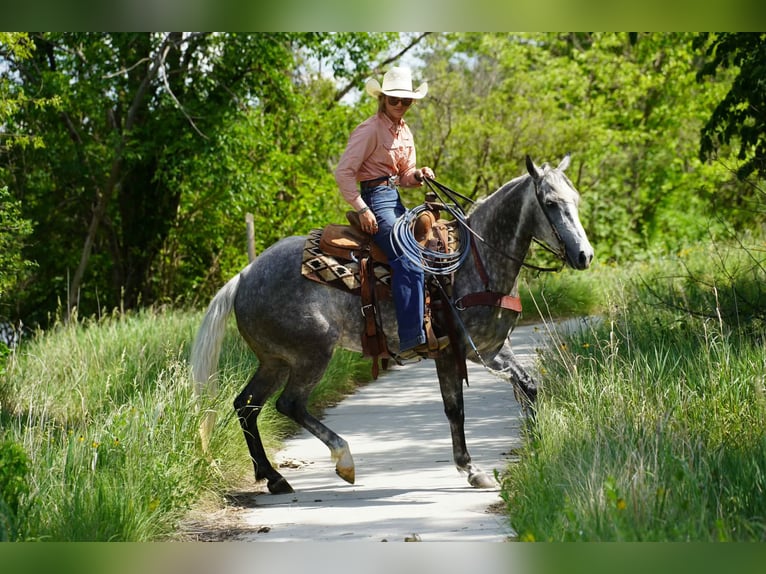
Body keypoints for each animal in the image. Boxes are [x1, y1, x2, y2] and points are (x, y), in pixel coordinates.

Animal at [190, 154, 594, 494]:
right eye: (550, 203)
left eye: (574, 199)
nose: (584, 255)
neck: (473, 262)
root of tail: (244, 276)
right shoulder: (452, 352)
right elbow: (456, 410)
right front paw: (471, 468)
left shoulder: (492, 349)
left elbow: (528, 387)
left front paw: (537, 446)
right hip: (310, 355)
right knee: (289, 404)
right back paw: (343, 460)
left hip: (275, 360)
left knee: (246, 405)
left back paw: (273, 477)